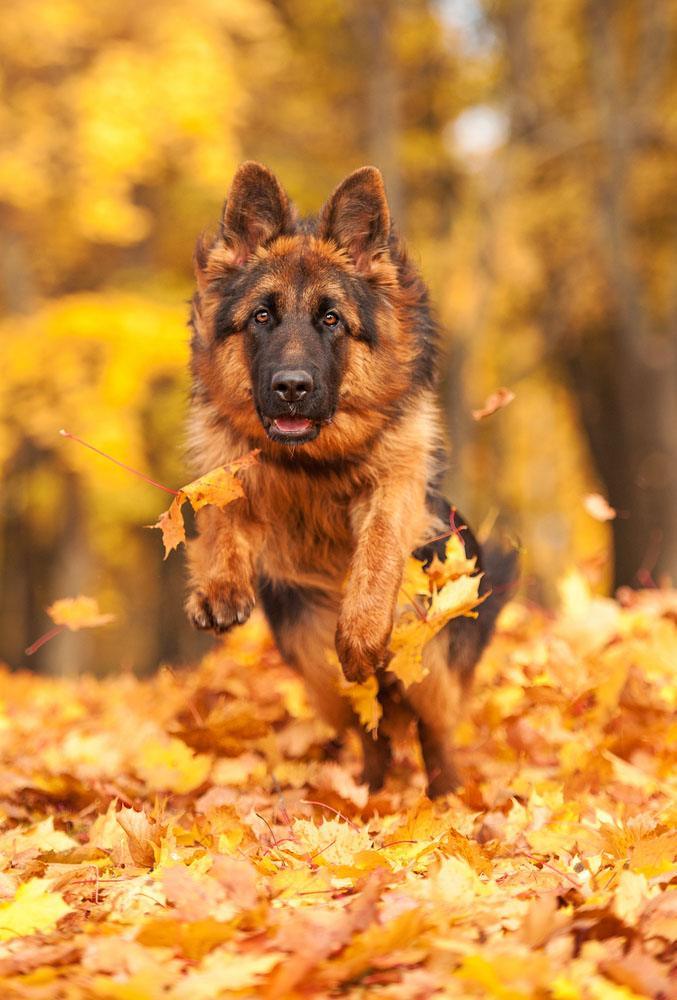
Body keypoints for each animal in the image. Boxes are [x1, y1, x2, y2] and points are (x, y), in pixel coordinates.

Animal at [182, 168, 516, 800]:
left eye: (331, 319)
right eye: (262, 316)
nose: (291, 388)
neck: (317, 460)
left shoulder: (397, 479)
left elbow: (379, 549)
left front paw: (361, 633)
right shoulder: (230, 464)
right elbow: (224, 517)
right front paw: (219, 585)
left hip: (428, 658)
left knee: (435, 733)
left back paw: (444, 798)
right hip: (316, 668)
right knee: (371, 727)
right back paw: (369, 794)